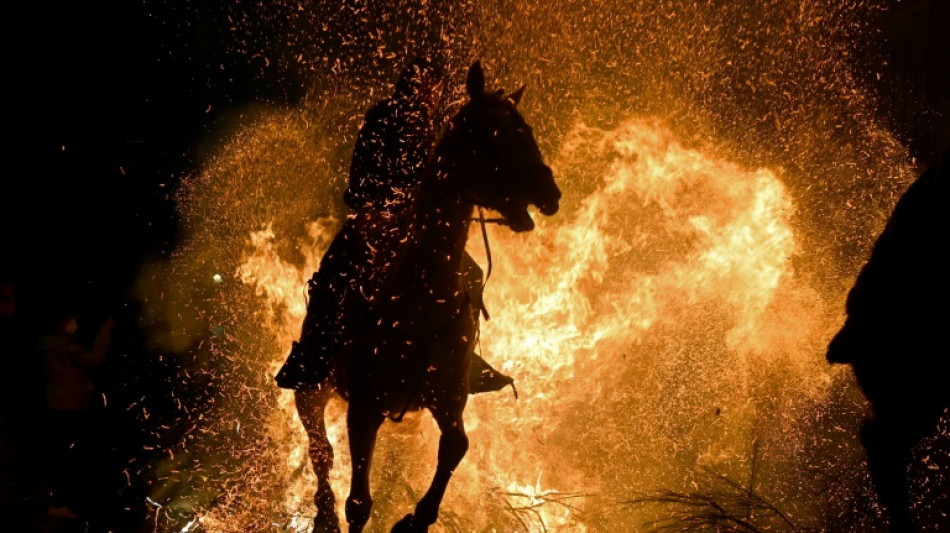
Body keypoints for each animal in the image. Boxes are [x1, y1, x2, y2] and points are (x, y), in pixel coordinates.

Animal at [293, 61, 561, 533]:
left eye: (525, 128)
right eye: (495, 133)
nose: (550, 193)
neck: (416, 298)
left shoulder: (448, 397)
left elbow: (456, 446)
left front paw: (415, 518)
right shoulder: (364, 406)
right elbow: (358, 503)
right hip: (311, 383)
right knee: (320, 449)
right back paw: (323, 514)